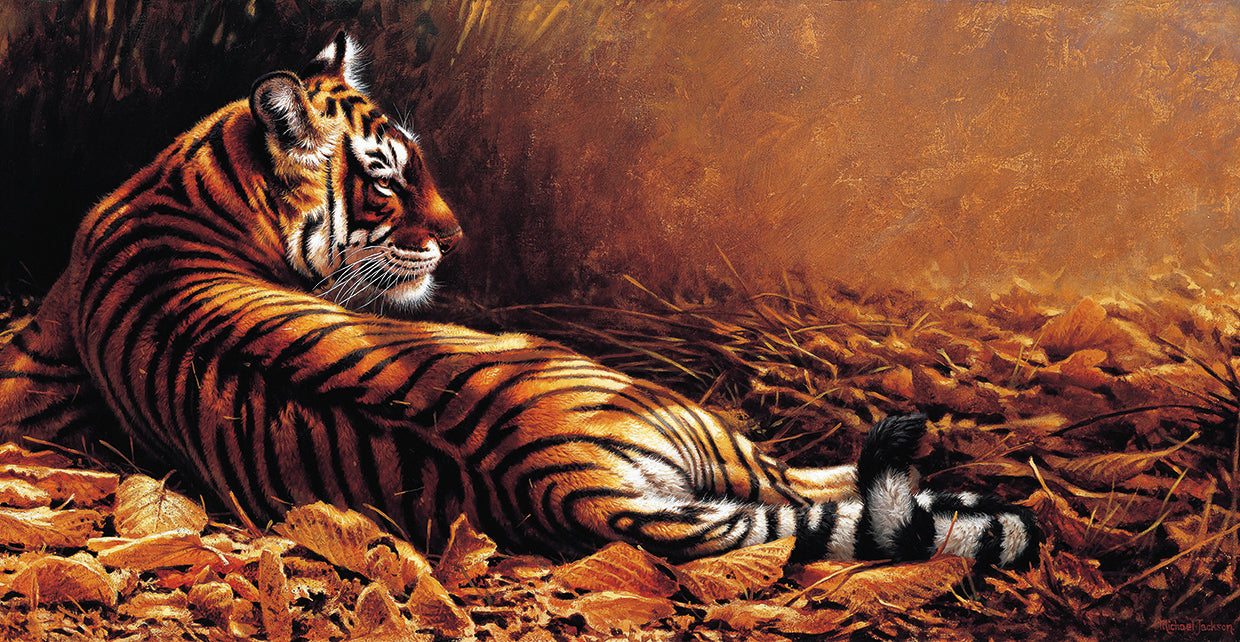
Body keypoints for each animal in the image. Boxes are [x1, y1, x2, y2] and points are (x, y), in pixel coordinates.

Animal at [0, 33, 1038, 568]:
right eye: (384, 179)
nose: (456, 237)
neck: (186, 181)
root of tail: (570, 480)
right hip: (696, 419)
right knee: (818, 485)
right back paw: (980, 497)